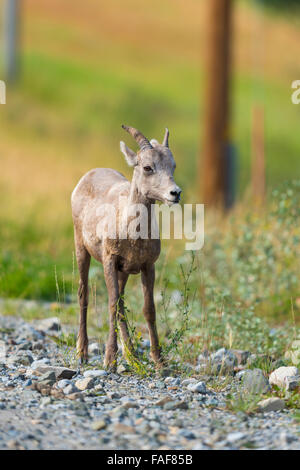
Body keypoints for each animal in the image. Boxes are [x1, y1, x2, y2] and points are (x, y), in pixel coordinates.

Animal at [71, 126, 182, 370]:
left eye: (173, 166)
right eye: (147, 167)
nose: (175, 193)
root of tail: (87, 176)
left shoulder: (147, 266)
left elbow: (148, 309)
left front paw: (159, 360)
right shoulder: (109, 261)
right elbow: (111, 306)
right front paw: (109, 361)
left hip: (124, 273)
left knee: (122, 305)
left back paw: (132, 355)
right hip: (81, 249)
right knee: (84, 295)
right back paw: (82, 354)